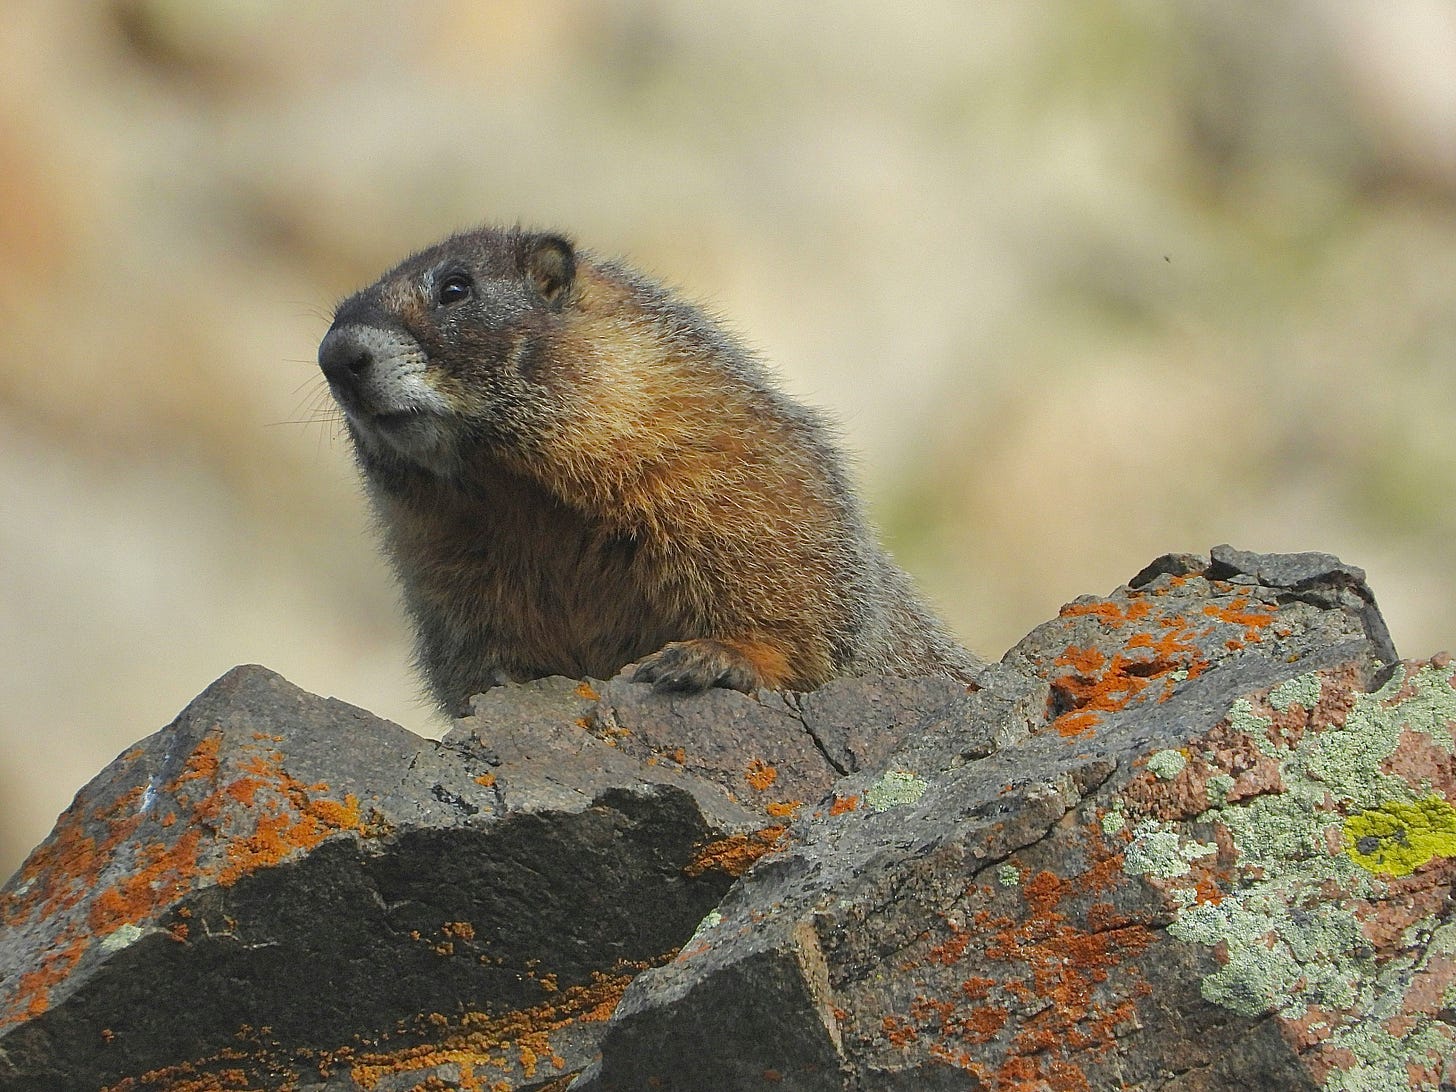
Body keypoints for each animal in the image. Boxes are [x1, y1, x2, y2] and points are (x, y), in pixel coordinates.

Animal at [318, 226, 983, 714]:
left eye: (456, 288)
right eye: (333, 316)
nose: (336, 356)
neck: (516, 490)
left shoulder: (716, 464)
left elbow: (786, 577)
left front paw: (713, 657)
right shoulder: (442, 551)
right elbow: (474, 632)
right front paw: (506, 683)